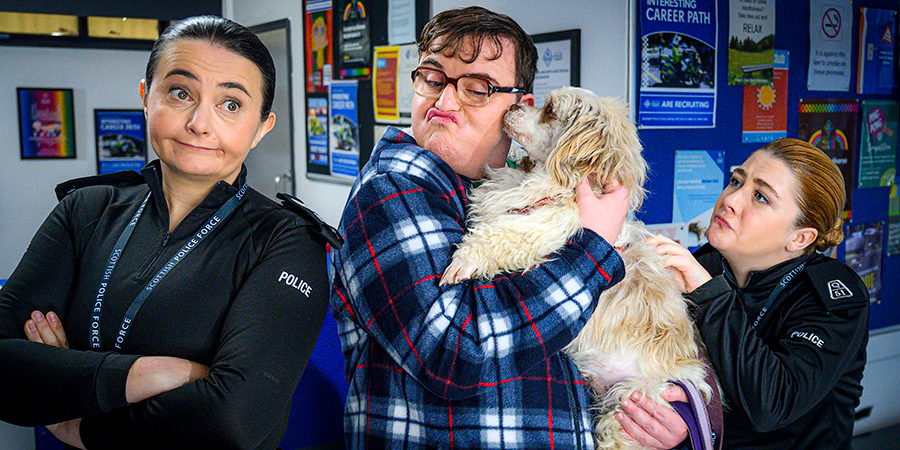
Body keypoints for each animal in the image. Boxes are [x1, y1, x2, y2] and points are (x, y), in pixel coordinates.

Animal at [440, 86, 712, 448]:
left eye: (550, 111)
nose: (512, 106)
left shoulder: (548, 227)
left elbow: (501, 236)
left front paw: (464, 261)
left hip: (630, 401)